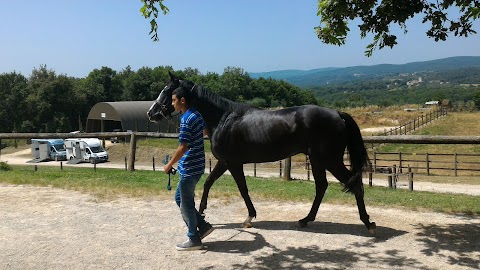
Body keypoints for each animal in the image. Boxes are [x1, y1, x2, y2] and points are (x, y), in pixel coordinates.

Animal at [148, 72, 376, 234]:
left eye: (167, 91)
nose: (151, 112)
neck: (223, 118)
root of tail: (338, 114)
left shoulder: (233, 163)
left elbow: (243, 189)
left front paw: (249, 217)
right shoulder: (224, 162)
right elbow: (208, 183)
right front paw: (202, 212)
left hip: (329, 159)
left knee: (352, 184)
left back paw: (368, 223)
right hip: (319, 160)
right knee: (322, 186)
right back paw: (306, 220)